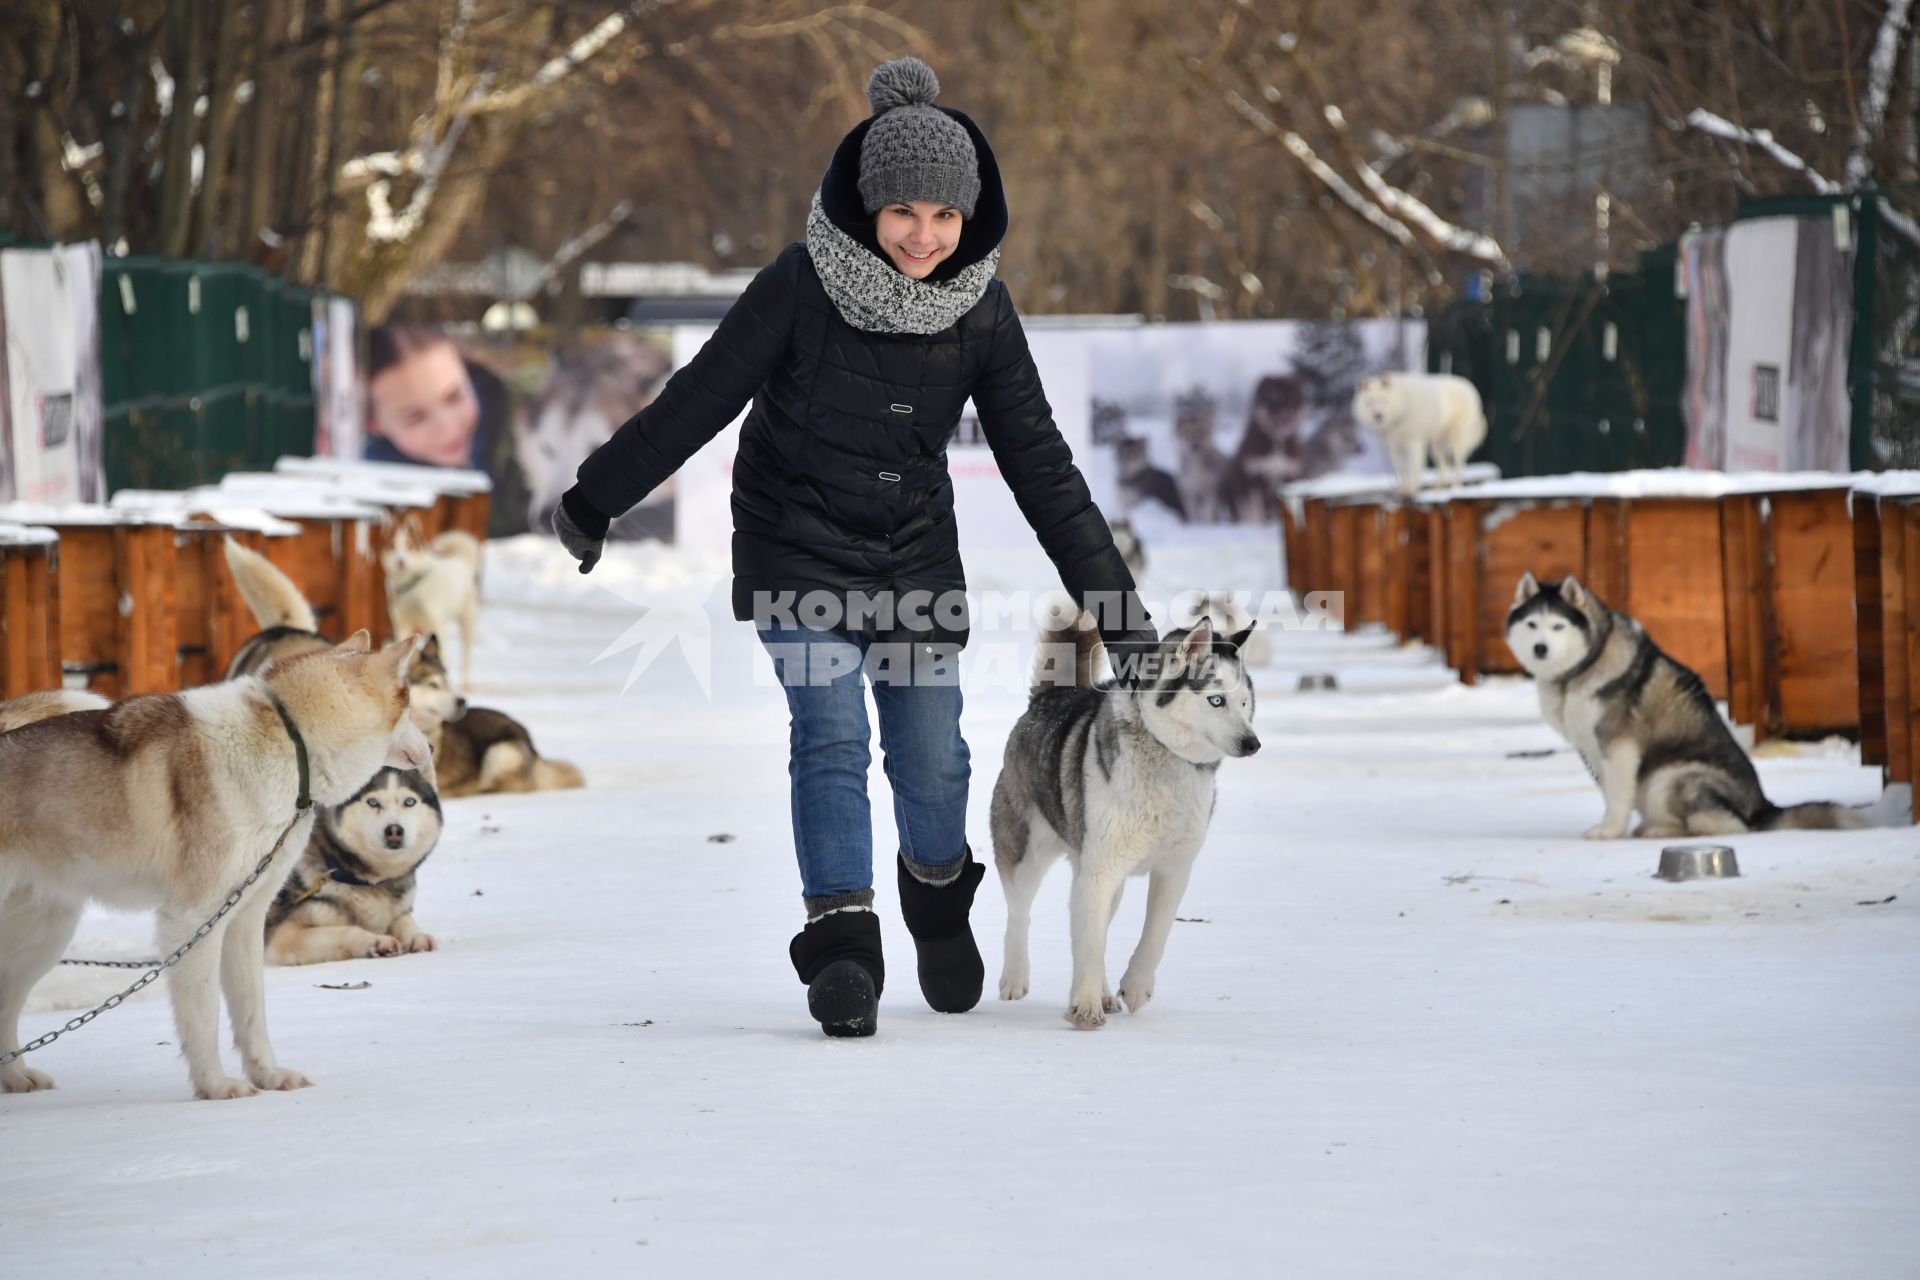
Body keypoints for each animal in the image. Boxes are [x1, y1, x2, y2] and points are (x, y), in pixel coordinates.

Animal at [990, 614, 1259, 1028]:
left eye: (1245, 703)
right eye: (1216, 700)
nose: (1253, 743)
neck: (1166, 757)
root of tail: (1046, 699)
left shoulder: (1174, 868)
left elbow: (1155, 934)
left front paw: (1133, 987)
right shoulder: (1099, 870)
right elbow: (1088, 941)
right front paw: (1085, 1006)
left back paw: (1102, 992)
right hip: (1026, 852)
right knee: (1020, 914)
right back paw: (1016, 978)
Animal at [1505, 571, 1866, 840]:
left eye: (1558, 626)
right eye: (1532, 625)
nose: (1540, 648)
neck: (1581, 669)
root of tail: (1763, 809)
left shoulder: (1618, 745)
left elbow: (1618, 795)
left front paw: (1609, 831)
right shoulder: (1591, 750)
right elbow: (1611, 791)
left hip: (1672, 776)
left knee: (1727, 827)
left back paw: (1663, 831)